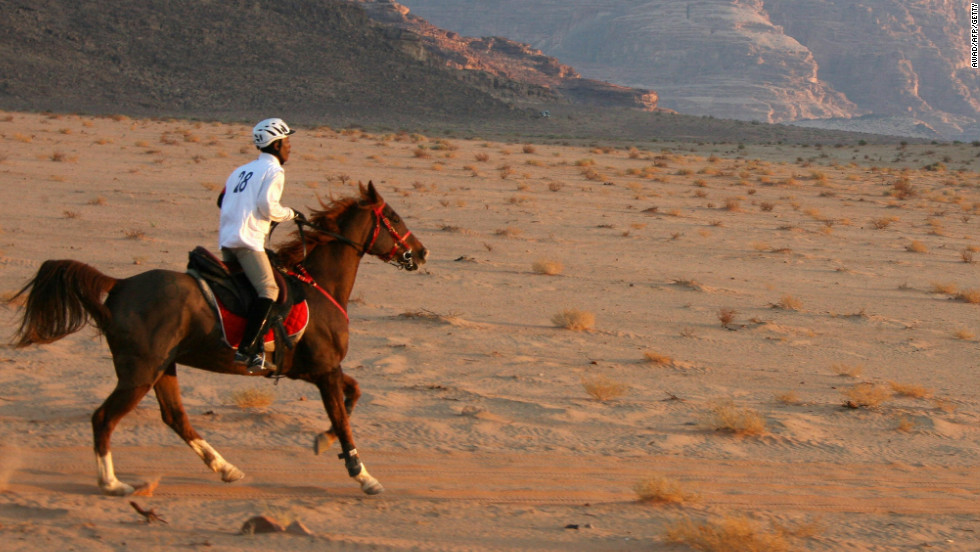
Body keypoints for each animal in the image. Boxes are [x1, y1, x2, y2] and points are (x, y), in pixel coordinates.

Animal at [10, 181, 424, 496]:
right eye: (394, 218)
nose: (421, 252)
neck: (319, 283)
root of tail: (121, 284)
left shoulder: (314, 370)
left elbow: (352, 396)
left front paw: (322, 442)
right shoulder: (325, 369)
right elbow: (342, 417)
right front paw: (363, 475)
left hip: (163, 369)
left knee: (175, 418)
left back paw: (225, 468)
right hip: (139, 374)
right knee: (104, 418)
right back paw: (113, 484)